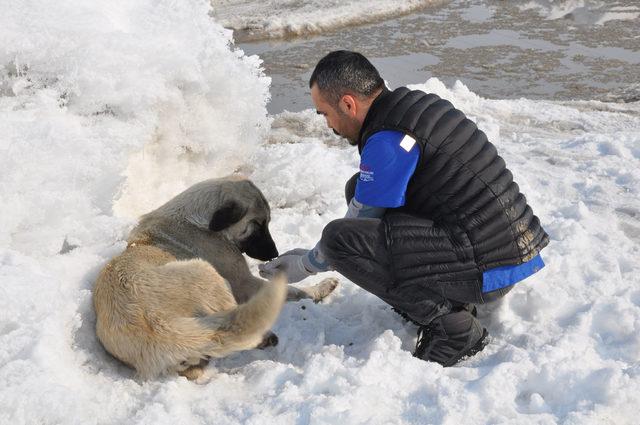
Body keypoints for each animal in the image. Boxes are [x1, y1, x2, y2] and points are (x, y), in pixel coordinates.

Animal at [94, 174, 340, 380]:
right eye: (258, 224)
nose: (274, 254)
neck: (200, 222)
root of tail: (160, 326)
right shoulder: (244, 283)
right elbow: (294, 290)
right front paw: (320, 288)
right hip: (205, 272)